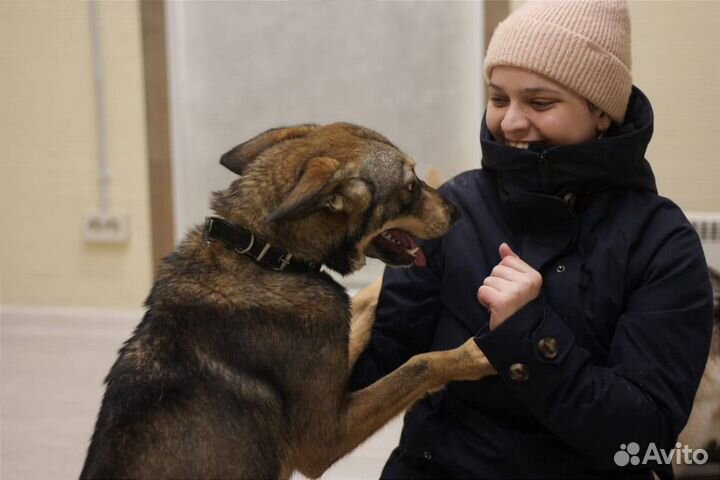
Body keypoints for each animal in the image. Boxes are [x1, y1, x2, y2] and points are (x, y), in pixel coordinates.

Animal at [79, 122, 496, 478]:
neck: (264, 254)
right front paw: (475, 354)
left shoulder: (336, 366)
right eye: (410, 186)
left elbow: (364, 305)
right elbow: (420, 364)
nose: (457, 211)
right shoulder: (324, 437)